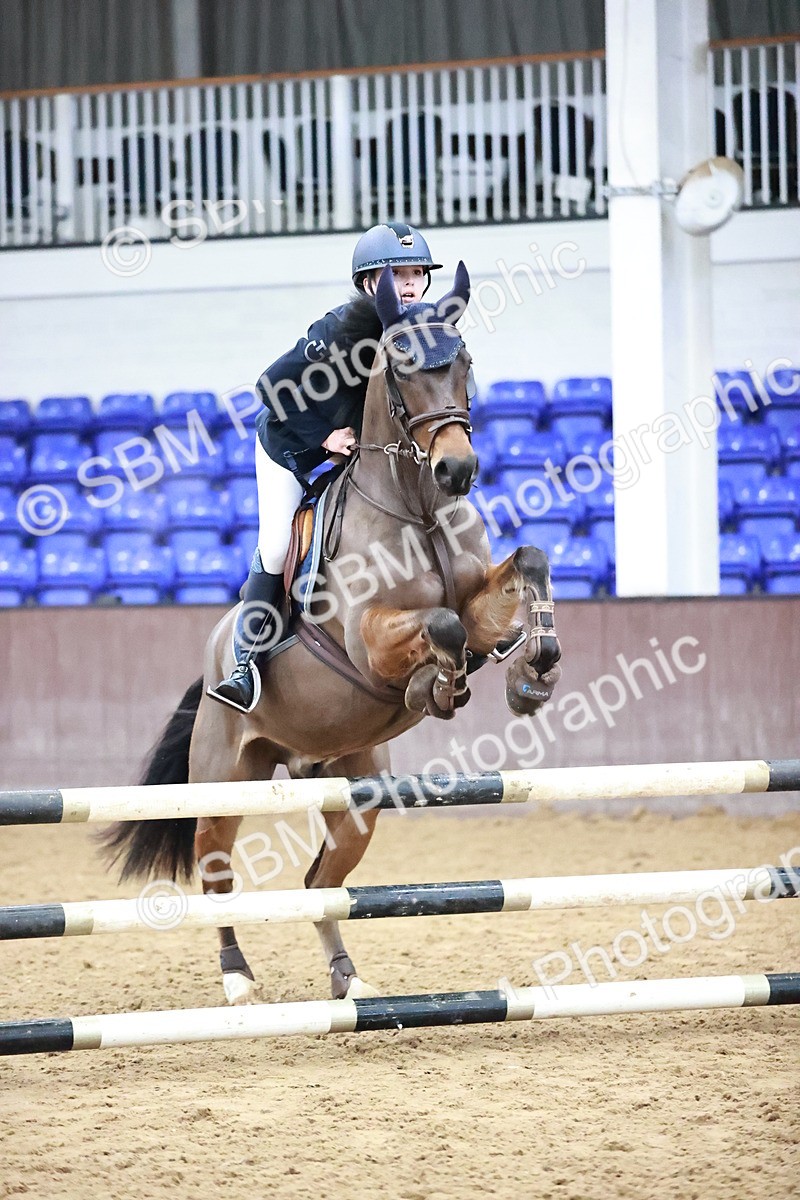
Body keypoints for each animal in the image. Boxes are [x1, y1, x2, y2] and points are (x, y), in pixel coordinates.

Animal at [102, 262, 562, 1005]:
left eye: (464, 363)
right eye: (400, 368)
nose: (457, 471)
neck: (417, 507)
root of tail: (211, 660)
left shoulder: (480, 599)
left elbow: (525, 566)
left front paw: (532, 672)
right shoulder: (370, 641)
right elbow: (439, 625)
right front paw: (438, 686)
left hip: (353, 792)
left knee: (321, 884)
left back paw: (347, 979)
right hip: (224, 780)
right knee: (215, 874)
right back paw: (237, 978)